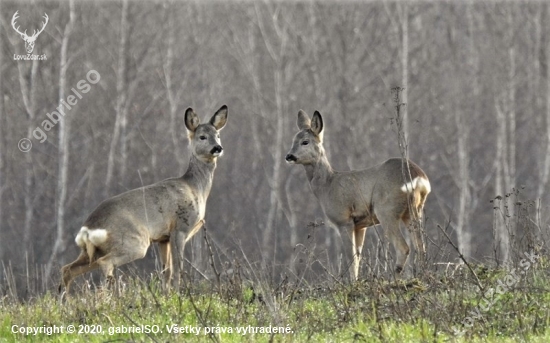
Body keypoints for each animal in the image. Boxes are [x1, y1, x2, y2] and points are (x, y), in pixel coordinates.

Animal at [61, 105, 230, 292]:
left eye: (218, 135)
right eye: (202, 136)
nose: (217, 148)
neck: (195, 188)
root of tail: (89, 228)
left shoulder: (163, 238)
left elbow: (166, 271)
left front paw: (167, 294)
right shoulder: (180, 228)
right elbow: (177, 269)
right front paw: (179, 293)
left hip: (91, 250)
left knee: (67, 269)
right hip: (134, 241)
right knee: (104, 263)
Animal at [286, 111, 434, 280]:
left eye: (305, 142)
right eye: (293, 140)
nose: (289, 156)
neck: (328, 186)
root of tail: (419, 177)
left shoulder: (344, 220)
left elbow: (351, 257)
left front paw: (352, 282)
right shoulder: (361, 225)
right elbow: (358, 257)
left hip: (387, 210)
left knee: (404, 247)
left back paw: (393, 278)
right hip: (413, 211)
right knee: (421, 246)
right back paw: (423, 275)